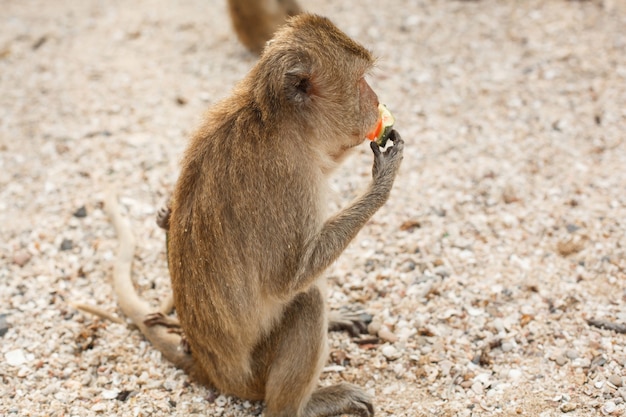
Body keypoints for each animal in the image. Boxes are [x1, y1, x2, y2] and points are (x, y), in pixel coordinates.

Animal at [105, 13, 402, 416]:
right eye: (359, 81)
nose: (375, 100)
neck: (273, 118)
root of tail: (210, 370)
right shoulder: (288, 174)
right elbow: (288, 279)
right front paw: (383, 182)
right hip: (254, 377)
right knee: (306, 301)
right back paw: (303, 405)